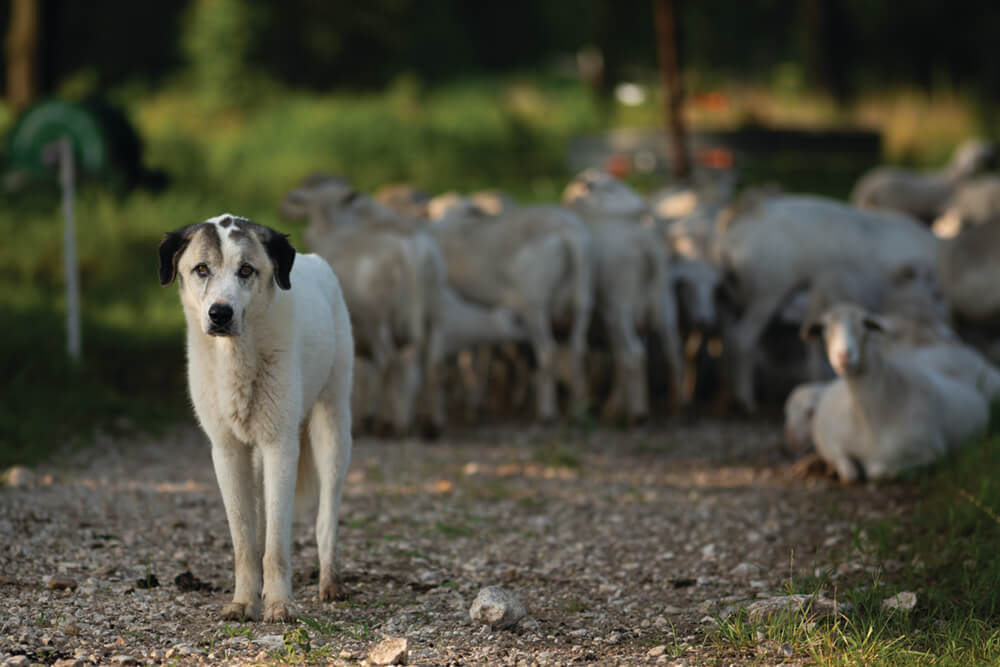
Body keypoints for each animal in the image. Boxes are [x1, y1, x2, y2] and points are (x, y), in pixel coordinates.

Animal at [158, 214, 354, 620]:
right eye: (201, 269)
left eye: (246, 270)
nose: (220, 313)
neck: (236, 357)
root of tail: (316, 261)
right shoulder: (227, 451)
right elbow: (245, 540)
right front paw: (244, 602)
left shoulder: (281, 446)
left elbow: (277, 543)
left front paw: (279, 605)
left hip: (333, 428)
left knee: (325, 517)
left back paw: (331, 583)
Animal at [800, 306, 988, 482]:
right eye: (823, 328)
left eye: (865, 324)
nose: (844, 356)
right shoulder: (832, 442)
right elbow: (849, 472)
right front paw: (835, 468)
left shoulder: (932, 451)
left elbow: (877, 471)